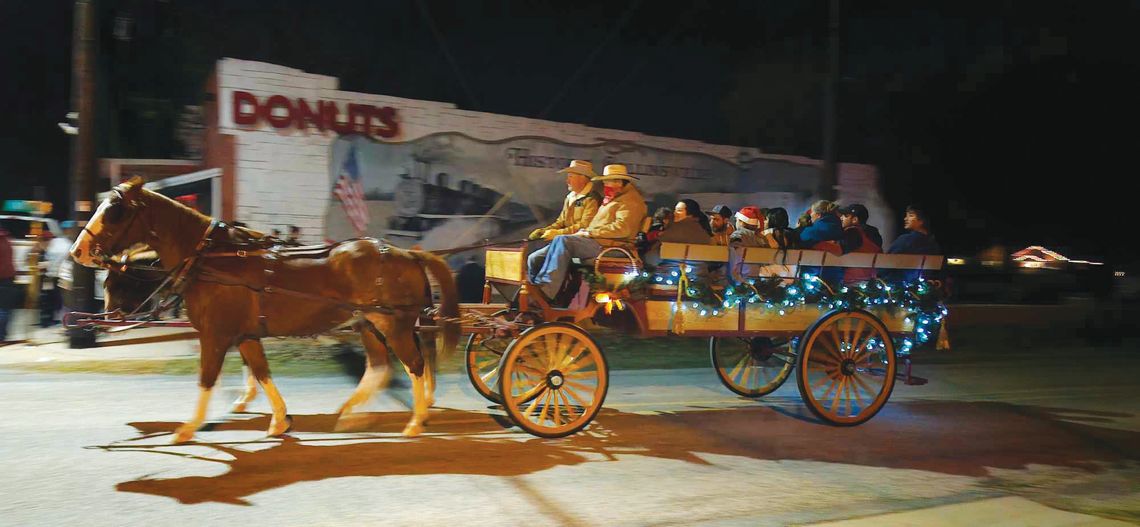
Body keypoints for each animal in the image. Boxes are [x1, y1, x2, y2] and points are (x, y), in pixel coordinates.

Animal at [71, 179, 458, 442]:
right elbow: (261, 373)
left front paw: (188, 428)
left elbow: (207, 378)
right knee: (380, 368)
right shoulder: (245, 335)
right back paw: (350, 414)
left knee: (415, 366)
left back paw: (415, 421)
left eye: (115, 211)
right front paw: (279, 420)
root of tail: (408, 254)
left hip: (393, 324)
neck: (210, 259)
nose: (78, 251)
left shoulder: (216, 334)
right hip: (368, 325)